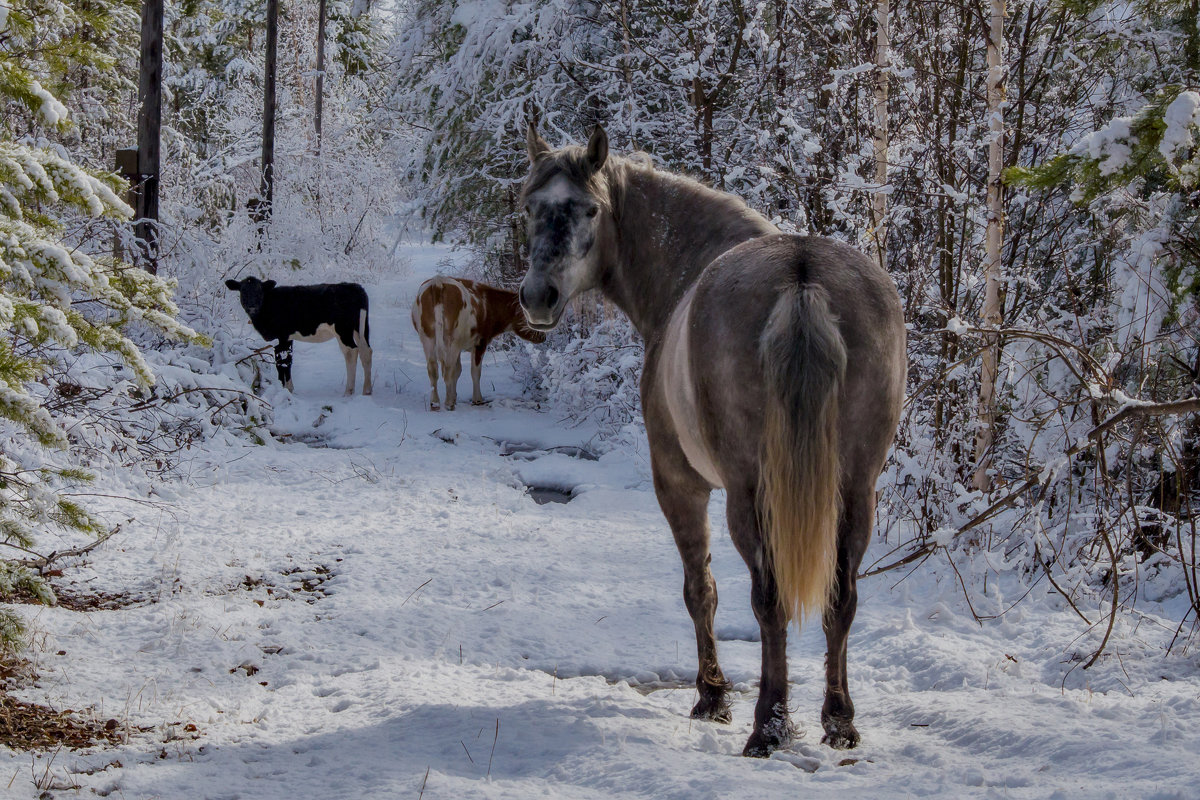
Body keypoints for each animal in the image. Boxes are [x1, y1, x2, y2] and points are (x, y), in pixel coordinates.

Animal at [225, 278, 372, 398]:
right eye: (243, 291)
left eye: (259, 291)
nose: (252, 306)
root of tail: (355, 287)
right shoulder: (288, 338)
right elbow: (289, 361)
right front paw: (289, 389)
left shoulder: (281, 336)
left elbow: (281, 363)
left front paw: (283, 388)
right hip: (361, 328)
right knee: (366, 352)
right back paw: (367, 390)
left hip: (343, 330)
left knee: (351, 352)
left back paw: (348, 391)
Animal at [410, 277, 547, 412]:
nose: (543, 336)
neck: (488, 304)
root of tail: (438, 282)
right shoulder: (480, 342)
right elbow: (475, 372)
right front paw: (477, 399)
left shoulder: (460, 347)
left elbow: (458, 370)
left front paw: (454, 396)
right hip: (451, 340)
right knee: (448, 369)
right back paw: (448, 404)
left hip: (428, 337)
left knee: (433, 369)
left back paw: (435, 403)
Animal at [520, 123, 902, 758]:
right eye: (531, 207)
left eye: (590, 209)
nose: (538, 296)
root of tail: (803, 279)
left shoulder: (679, 483)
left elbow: (701, 590)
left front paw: (712, 696)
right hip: (856, 490)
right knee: (840, 599)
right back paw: (838, 720)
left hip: (750, 493)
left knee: (769, 600)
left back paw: (768, 725)